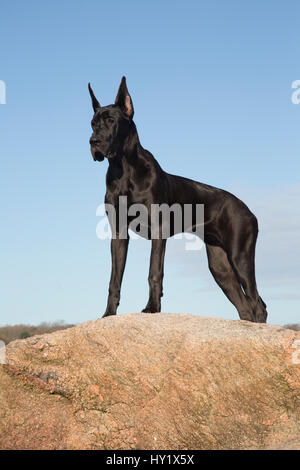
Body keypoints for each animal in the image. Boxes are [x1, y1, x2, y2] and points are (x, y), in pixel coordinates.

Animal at [88, 76, 268, 324]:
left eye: (111, 120)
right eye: (92, 123)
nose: (93, 141)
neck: (123, 169)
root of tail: (249, 210)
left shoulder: (158, 229)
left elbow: (154, 272)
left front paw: (152, 308)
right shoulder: (118, 233)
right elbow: (115, 279)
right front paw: (108, 314)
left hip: (240, 256)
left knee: (258, 304)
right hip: (220, 266)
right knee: (246, 308)